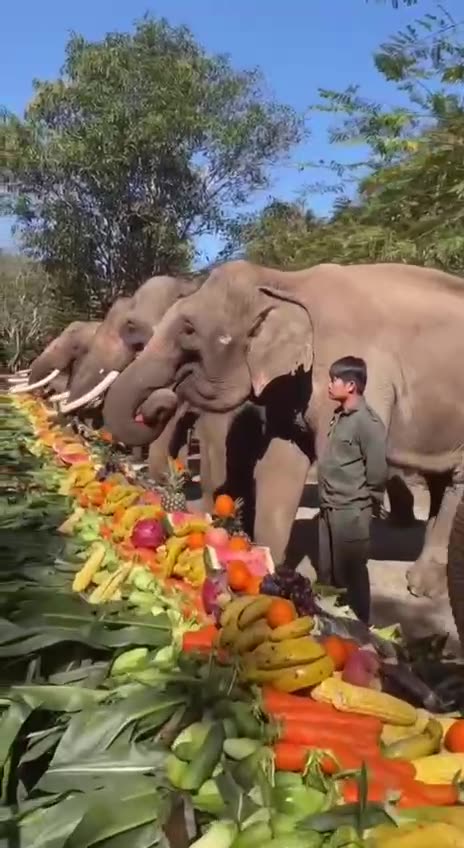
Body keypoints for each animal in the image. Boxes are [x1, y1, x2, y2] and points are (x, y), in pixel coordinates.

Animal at [101, 259, 464, 598]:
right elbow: (281, 461)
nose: (160, 404)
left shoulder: (361, 372)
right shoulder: (290, 381)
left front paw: (332, 589)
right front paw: (266, 570)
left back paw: (422, 587)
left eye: (188, 330)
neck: (283, 281)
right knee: (440, 482)